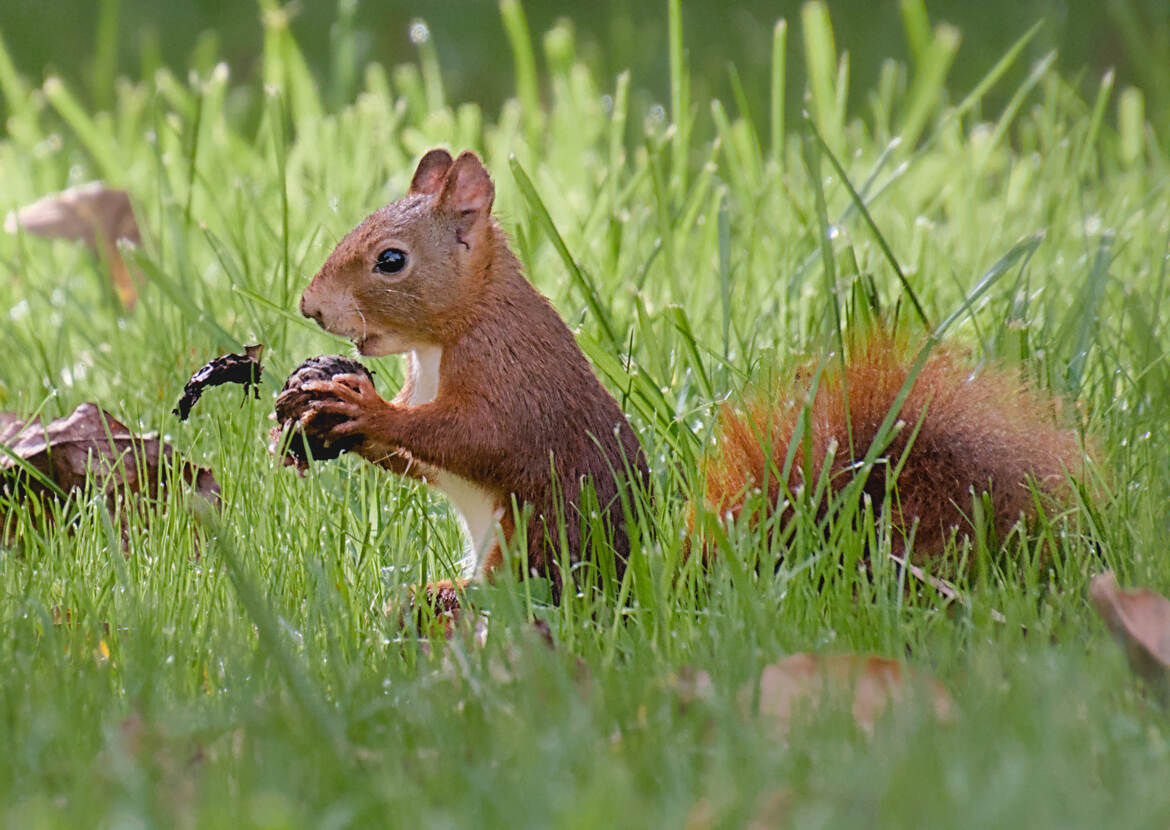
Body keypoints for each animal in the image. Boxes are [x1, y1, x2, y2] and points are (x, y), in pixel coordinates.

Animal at [297, 148, 650, 604]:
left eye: (391, 260)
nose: (310, 306)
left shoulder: (507, 370)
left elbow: (480, 437)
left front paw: (368, 409)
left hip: (524, 551)